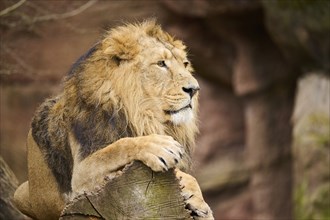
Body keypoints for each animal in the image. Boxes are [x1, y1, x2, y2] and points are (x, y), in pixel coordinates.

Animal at [12, 19, 213, 219]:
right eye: (161, 63)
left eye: (185, 64)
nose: (194, 89)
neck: (143, 117)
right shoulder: (79, 176)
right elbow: (117, 147)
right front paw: (160, 147)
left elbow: (190, 178)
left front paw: (199, 203)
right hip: (21, 193)